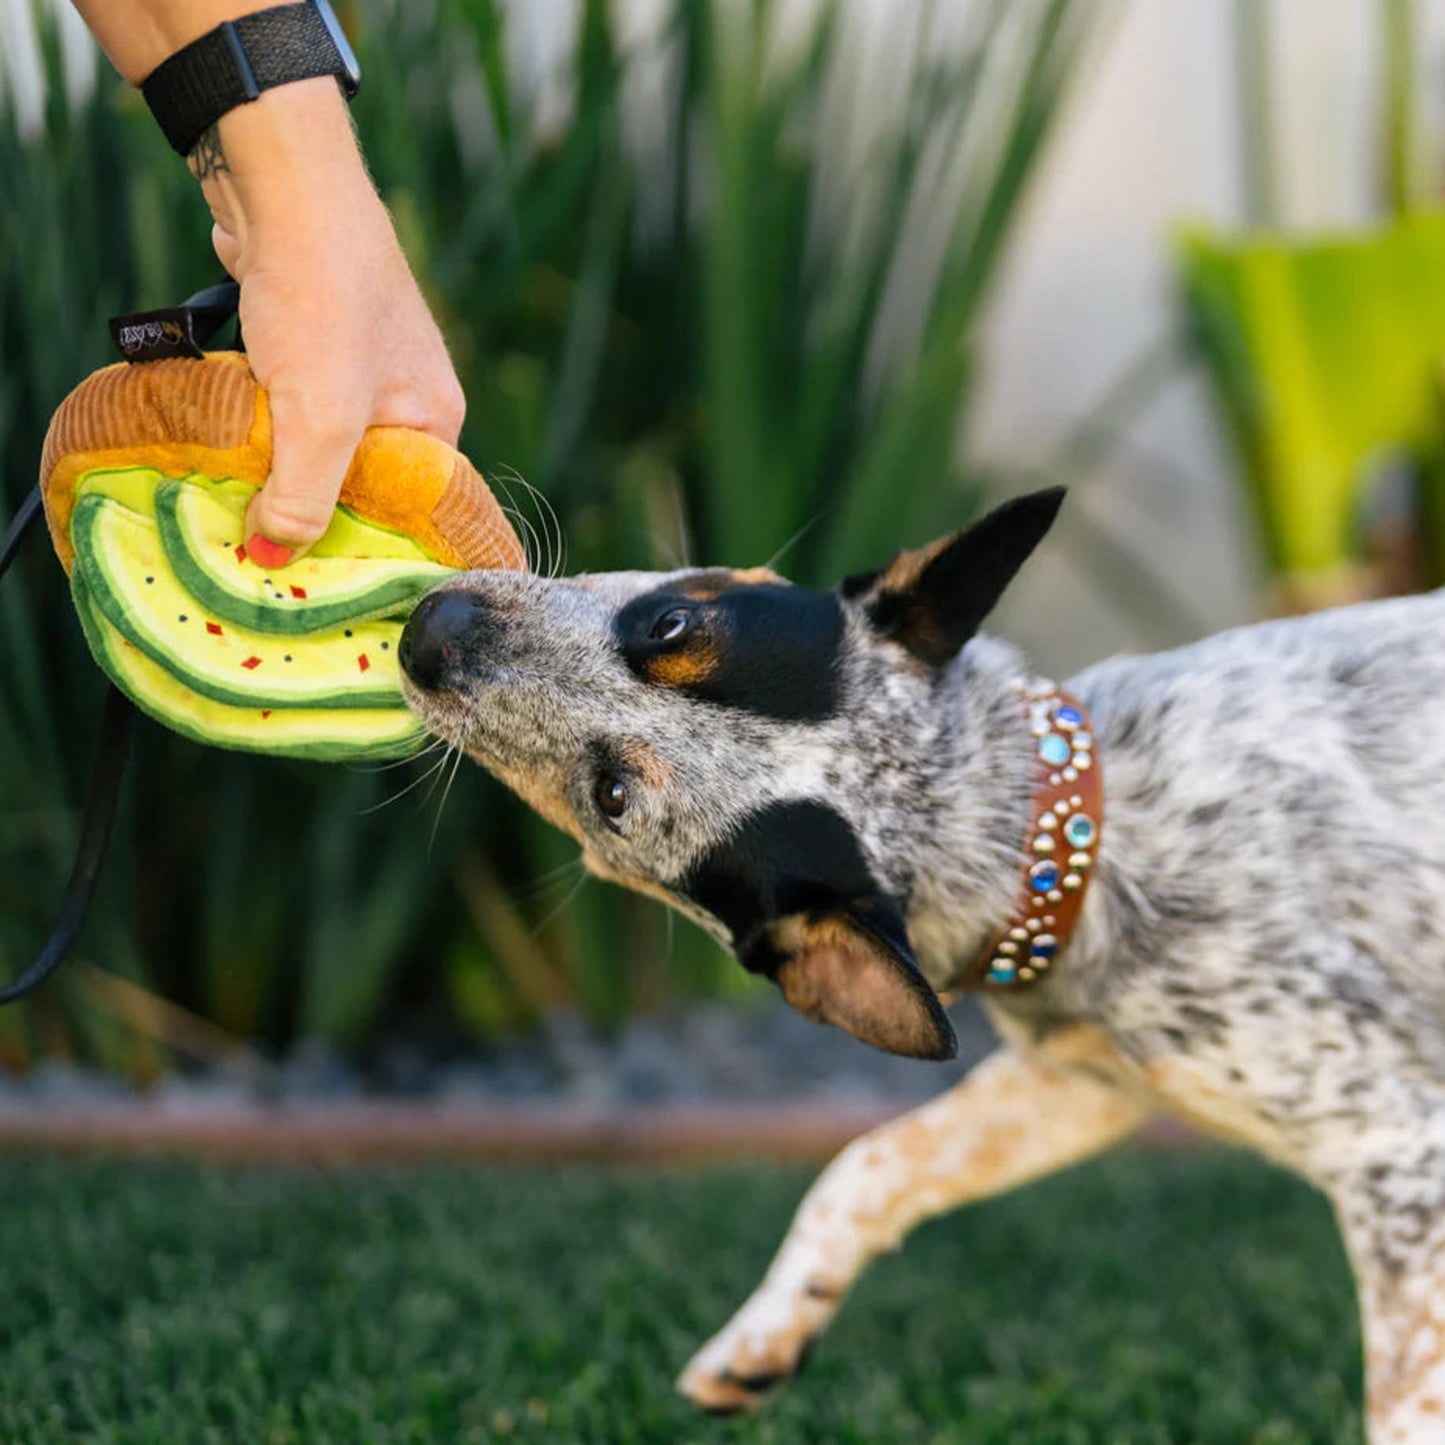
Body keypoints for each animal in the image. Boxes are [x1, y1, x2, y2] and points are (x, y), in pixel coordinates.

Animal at [398, 491, 1445, 1439]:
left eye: (612, 795)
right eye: (670, 619)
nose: (426, 631)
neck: (1066, 846)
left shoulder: (1396, 1151)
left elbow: (1404, 1402)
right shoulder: (1082, 1079)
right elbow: (870, 1163)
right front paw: (761, 1335)